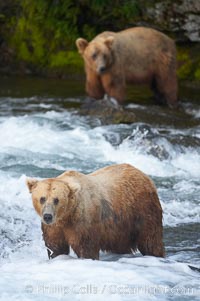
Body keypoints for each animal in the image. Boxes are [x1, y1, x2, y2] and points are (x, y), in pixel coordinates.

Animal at [26, 163, 164, 258]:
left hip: (142, 210)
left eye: (56, 200)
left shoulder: (83, 222)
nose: (47, 216)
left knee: (150, 240)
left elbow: (86, 248)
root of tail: (144, 175)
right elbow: (55, 247)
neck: (67, 216)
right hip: (119, 227)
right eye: (42, 198)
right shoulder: (54, 228)